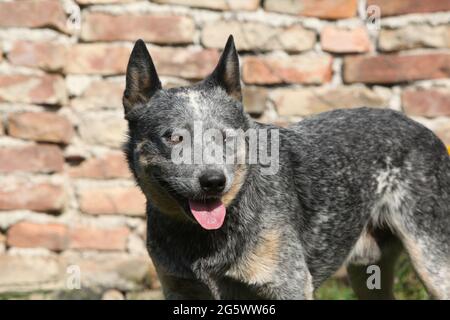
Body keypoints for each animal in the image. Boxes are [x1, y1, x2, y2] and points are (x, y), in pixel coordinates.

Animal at [123, 35, 450, 300]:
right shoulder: (179, 287)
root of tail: (425, 130)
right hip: (366, 271)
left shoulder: (288, 284)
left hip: (433, 262)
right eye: (174, 137)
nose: (214, 181)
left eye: (225, 136)